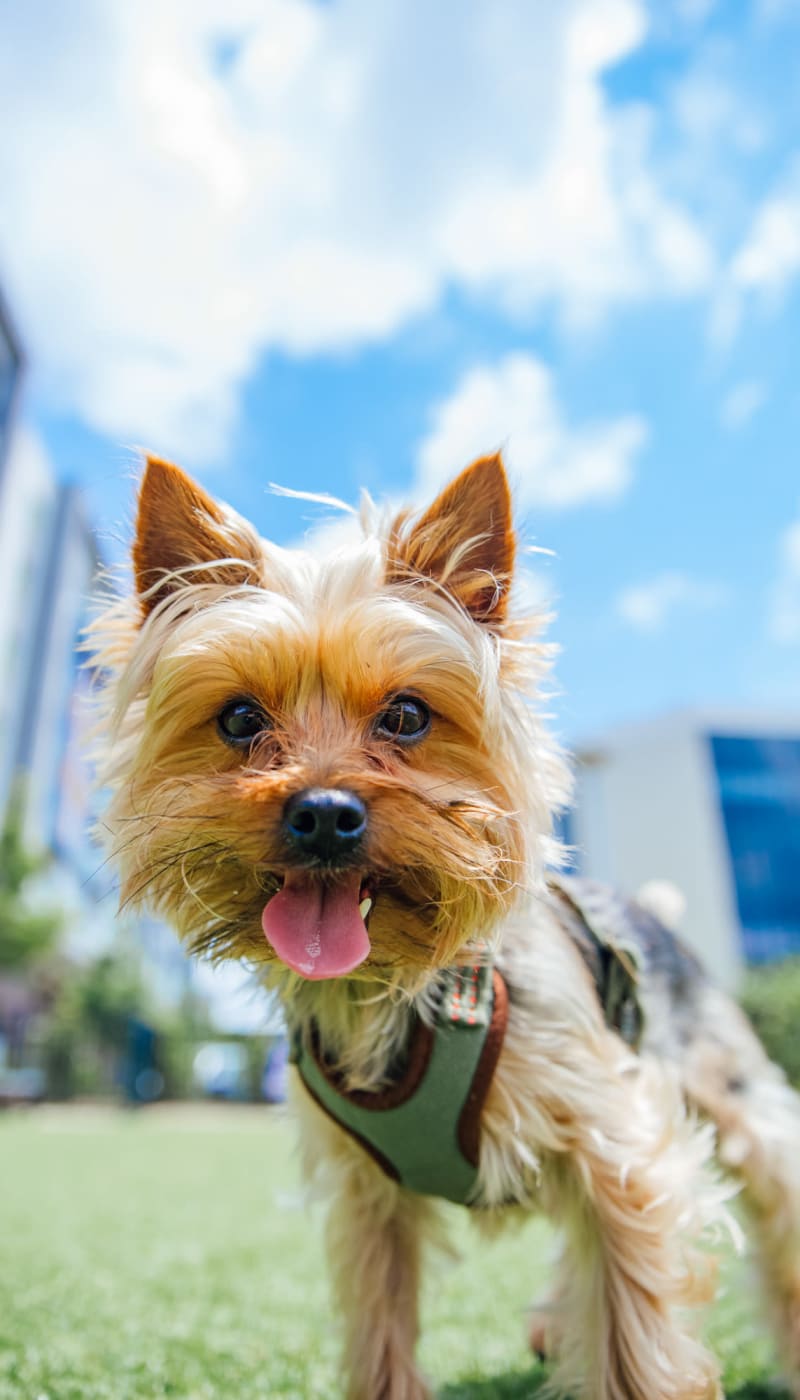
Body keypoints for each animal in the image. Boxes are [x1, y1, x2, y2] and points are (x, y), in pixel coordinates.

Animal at [91, 453, 800, 1394]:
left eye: (407, 716)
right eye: (240, 718)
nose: (324, 813)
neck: (389, 984)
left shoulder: (620, 1149)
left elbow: (632, 1331)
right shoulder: (368, 1201)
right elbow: (382, 1332)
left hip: (739, 1098)